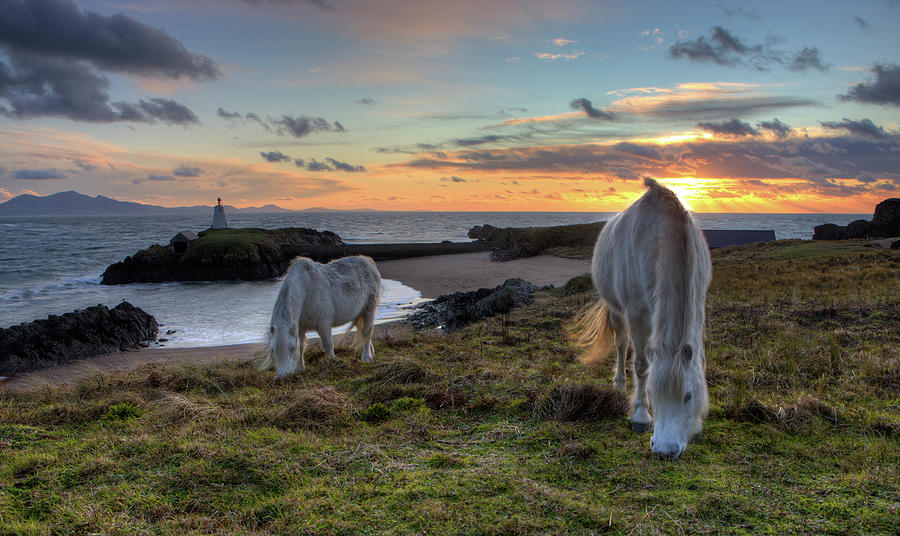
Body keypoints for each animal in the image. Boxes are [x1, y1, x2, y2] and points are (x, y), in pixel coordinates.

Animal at [576, 178, 712, 458]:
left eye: (688, 396)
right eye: (653, 392)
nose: (664, 450)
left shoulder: (699, 304)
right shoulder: (637, 314)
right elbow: (641, 366)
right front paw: (640, 415)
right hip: (618, 312)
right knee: (621, 345)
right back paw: (619, 385)